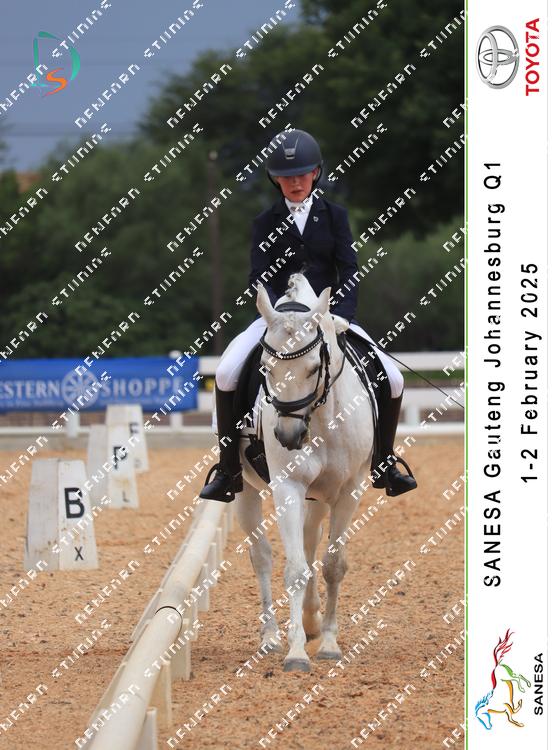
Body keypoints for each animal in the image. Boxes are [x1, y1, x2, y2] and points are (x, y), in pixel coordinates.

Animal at [234, 273, 375, 672]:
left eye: (314, 367)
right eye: (265, 368)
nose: (287, 436)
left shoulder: (349, 490)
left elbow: (333, 565)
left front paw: (328, 643)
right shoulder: (289, 488)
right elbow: (295, 569)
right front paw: (296, 652)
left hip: (320, 498)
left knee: (312, 544)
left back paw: (311, 621)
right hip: (245, 491)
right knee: (262, 557)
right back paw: (270, 637)